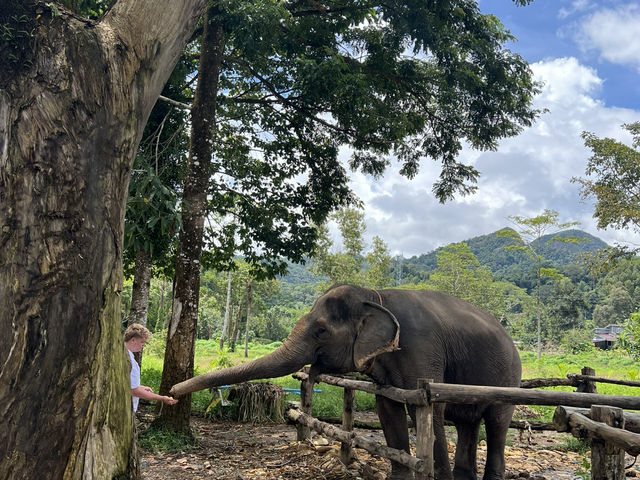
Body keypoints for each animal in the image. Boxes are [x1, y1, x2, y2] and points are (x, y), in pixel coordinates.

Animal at [170, 286, 520, 478]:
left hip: (510, 379)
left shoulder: (423, 352)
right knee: (467, 423)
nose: (172, 392)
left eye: (321, 331)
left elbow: (430, 413)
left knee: (496, 422)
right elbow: (388, 411)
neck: (375, 295)